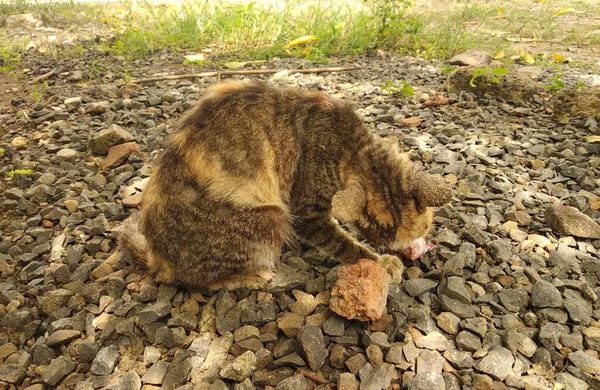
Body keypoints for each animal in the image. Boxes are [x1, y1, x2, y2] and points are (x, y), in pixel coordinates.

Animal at [112, 80, 452, 290]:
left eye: (422, 227)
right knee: (196, 279)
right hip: (270, 218)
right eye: (380, 231)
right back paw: (252, 277)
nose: (409, 250)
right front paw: (380, 260)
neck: (353, 147)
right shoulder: (308, 211)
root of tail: (158, 257)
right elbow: (344, 244)